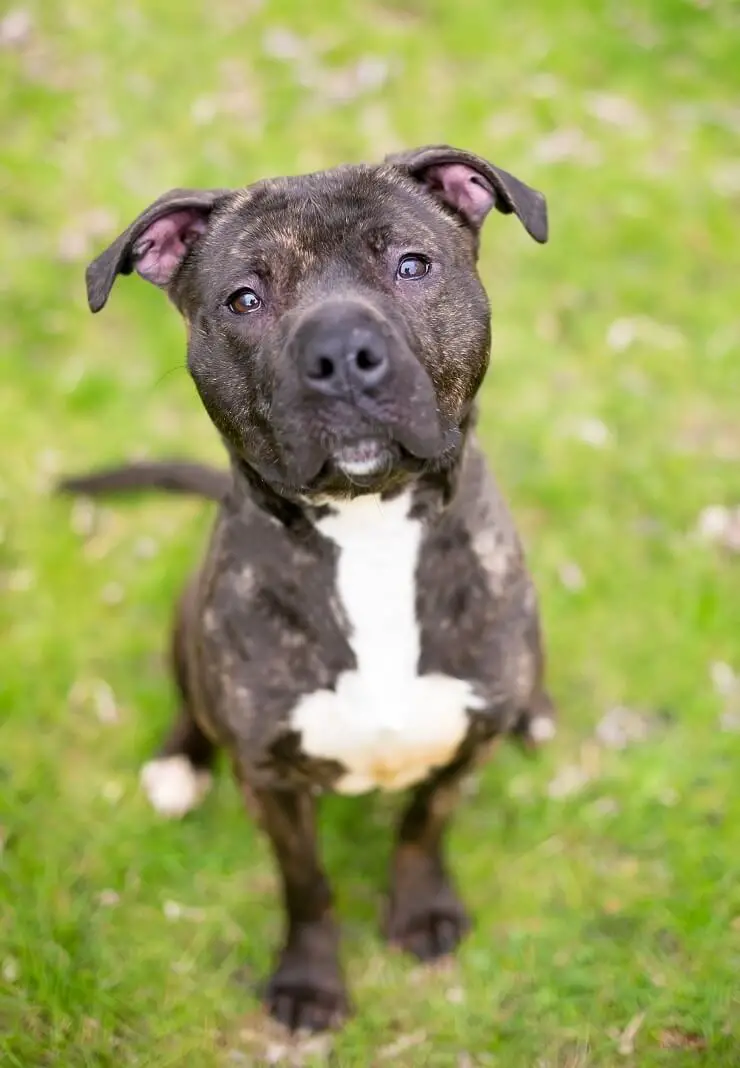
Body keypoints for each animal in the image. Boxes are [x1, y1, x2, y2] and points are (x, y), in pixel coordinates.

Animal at [59, 146, 555, 1029]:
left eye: (412, 264)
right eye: (244, 299)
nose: (340, 354)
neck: (370, 530)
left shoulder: (465, 748)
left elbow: (421, 828)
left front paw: (422, 910)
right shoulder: (271, 782)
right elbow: (307, 884)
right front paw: (309, 981)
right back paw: (179, 764)